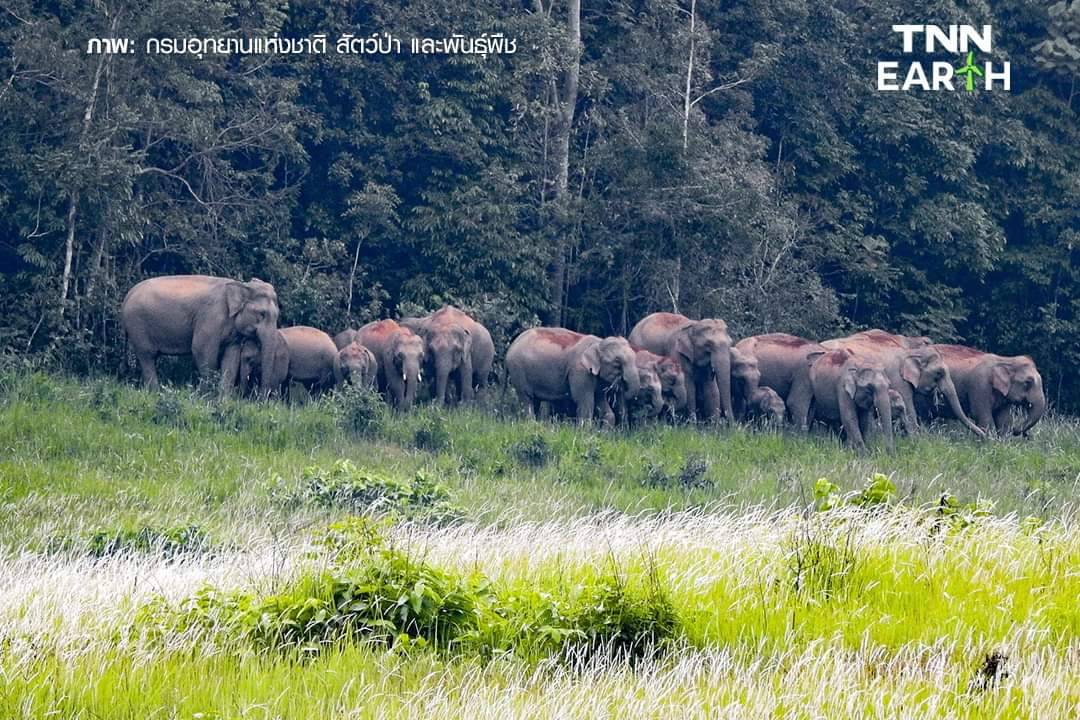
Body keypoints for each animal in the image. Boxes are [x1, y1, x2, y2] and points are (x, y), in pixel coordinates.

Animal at [120, 274, 280, 395]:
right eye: (262, 314)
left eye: (277, 315)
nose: (260, 398)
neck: (241, 285)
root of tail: (128, 295)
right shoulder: (210, 318)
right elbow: (202, 351)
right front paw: (204, 397)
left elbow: (231, 358)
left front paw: (223, 400)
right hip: (138, 325)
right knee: (147, 356)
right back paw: (155, 393)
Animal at [505, 325, 639, 423]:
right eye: (617, 361)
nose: (621, 384)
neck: (598, 342)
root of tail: (511, 345)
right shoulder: (580, 372)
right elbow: (585, 402)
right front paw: (583, 434)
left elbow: (602, 403)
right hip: (518, 370)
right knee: (526, 398)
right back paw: (531, 424)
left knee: (534, 400)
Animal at [816, 332, 989, 440]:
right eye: (939, 373)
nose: (988, 438)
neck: (909, 350)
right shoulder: (898, 380)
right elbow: (910, 410)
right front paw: (918, 440)